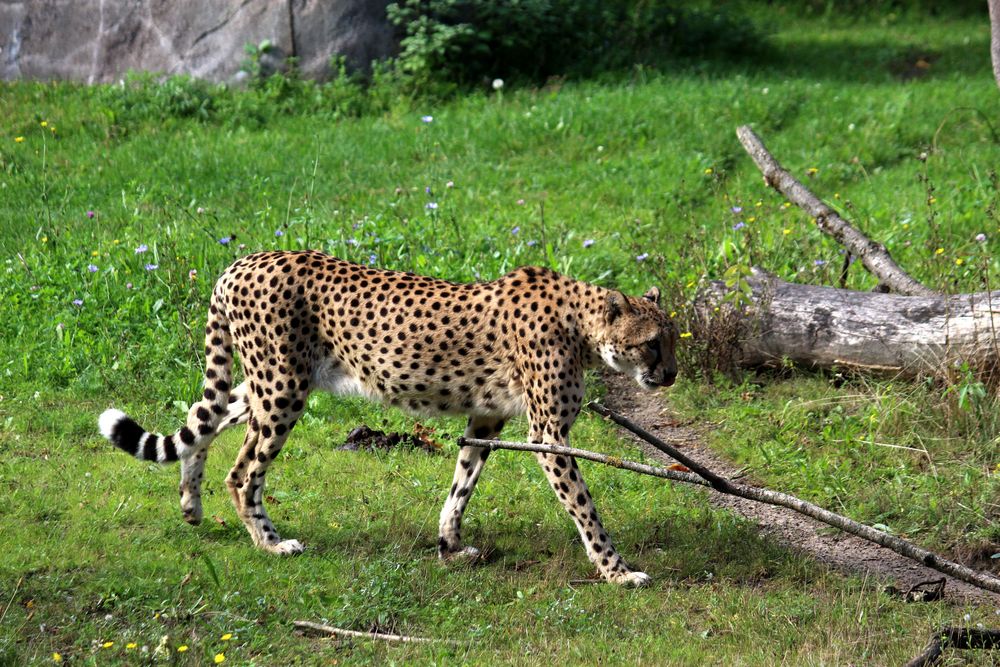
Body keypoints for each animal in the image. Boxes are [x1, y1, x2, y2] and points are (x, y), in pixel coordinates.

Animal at [99, 250, 680, 584]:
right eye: (652, 344)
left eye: (674, 339)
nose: (672, 375)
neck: (582, 326)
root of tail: (241, 262)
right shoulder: (550, 435)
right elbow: (585, 509)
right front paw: (618, 572)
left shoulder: (486, 419)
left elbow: (462, 484)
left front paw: (450, 546)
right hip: (283, 389)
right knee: (242, 473)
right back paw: (270, 543)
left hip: (271, 383)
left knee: (209, 417)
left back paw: (190, 503)